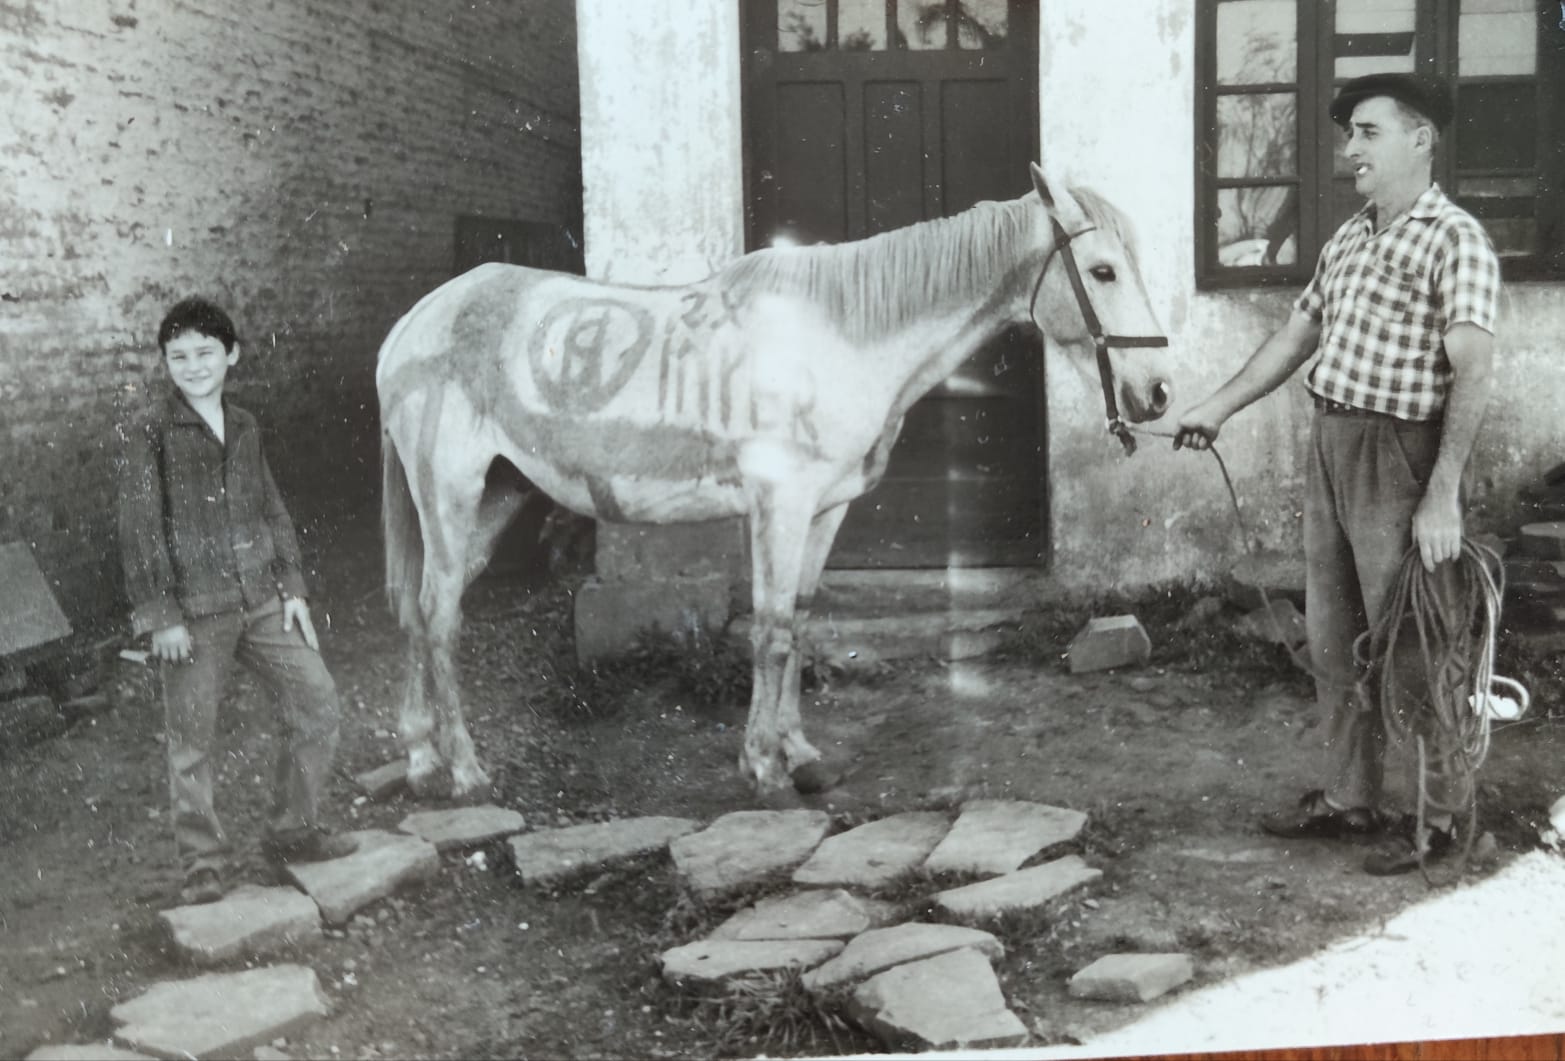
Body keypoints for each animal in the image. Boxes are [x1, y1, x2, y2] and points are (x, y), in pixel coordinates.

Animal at [377, 162, 1173, 798]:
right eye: (1102, 270)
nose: (1158, 392)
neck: (839, 340)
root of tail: (415, 323)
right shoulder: (778, 506)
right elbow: (768, 629)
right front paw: (761, 765)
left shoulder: (824, 510)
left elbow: (798, 617)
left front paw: (798, 751)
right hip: (449, 493)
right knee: (439, 615)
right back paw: (466, 770)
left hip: (497, 497)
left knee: (419, 612)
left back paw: (420, 755)